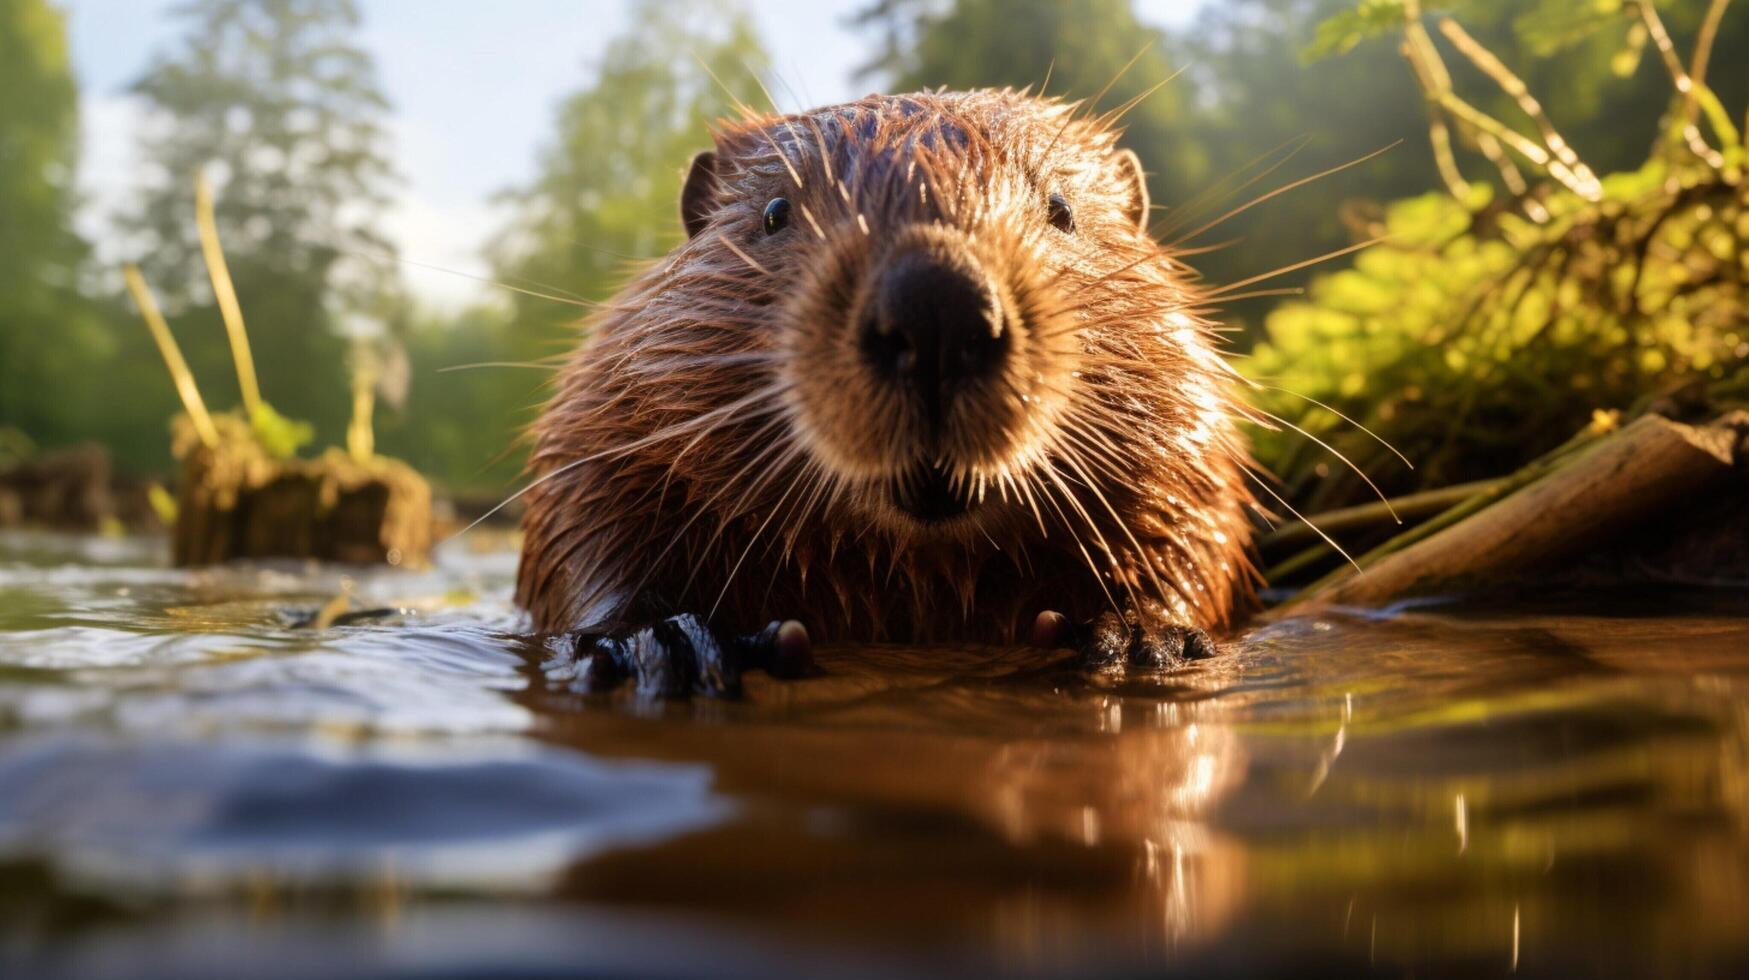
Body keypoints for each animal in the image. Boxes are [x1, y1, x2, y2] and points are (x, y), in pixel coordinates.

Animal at [510, 87, 1252, 693]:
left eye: (1062, 210)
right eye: (775, 212)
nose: (937, 303)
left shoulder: (1183, 423)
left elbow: (1193, 512)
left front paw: (1138, 637)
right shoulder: (609, 400)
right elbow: (583, 512)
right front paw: (665, 640)